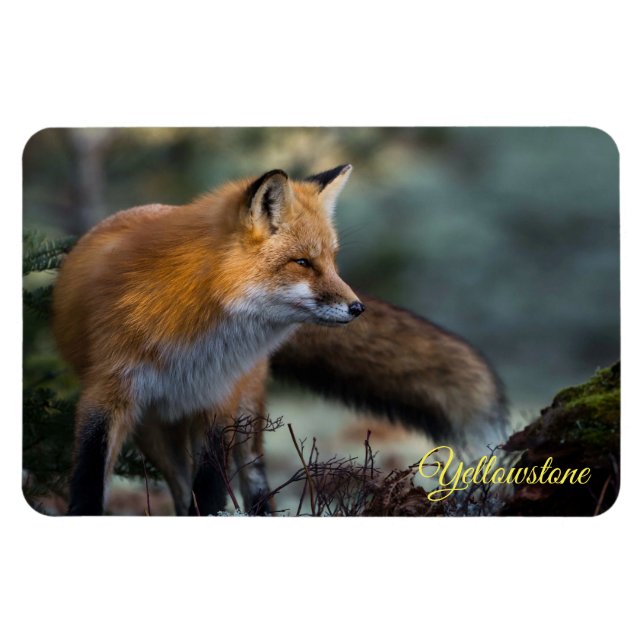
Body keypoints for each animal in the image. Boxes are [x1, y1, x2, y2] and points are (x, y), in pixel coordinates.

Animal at [53, 163, 506, 516]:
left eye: (332, 261)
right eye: (303, 262)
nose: (358, 307)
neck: (192, 336)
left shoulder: (218, 400)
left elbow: (211, 488)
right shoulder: (107, 393)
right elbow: (90, 477)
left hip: (243, 412)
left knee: (252, 480)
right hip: (154, 428)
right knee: (180, 489)